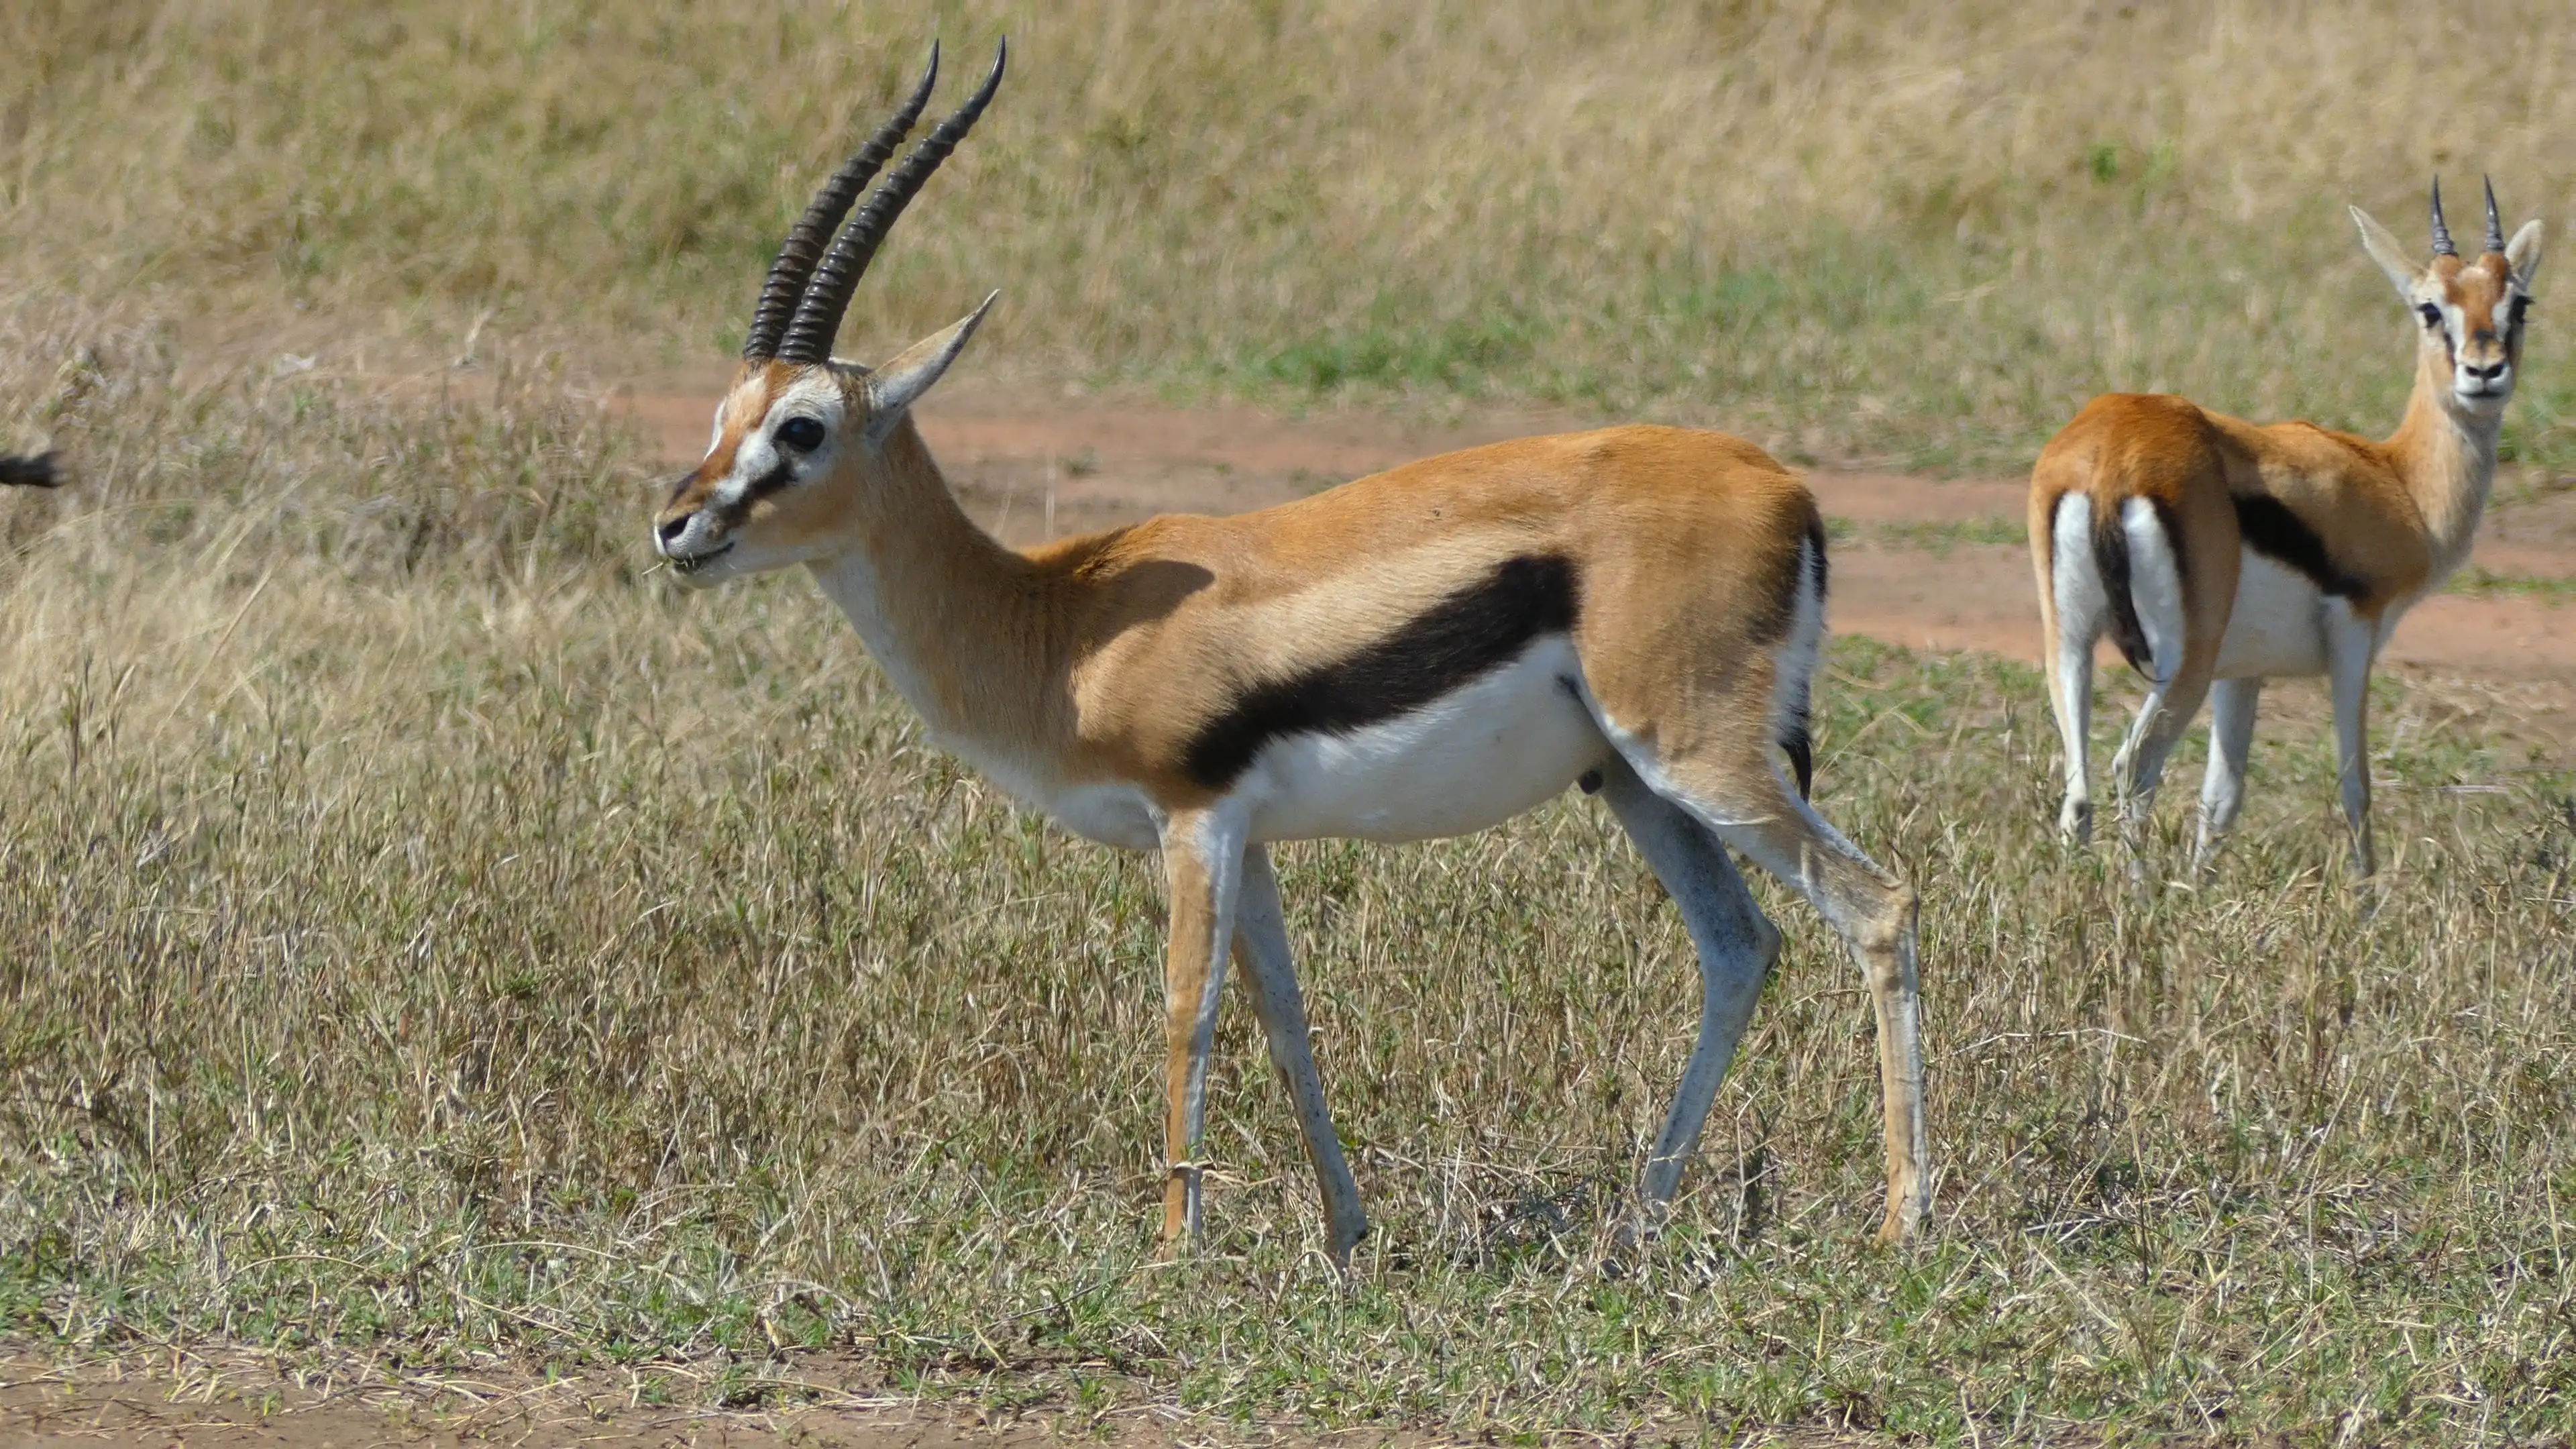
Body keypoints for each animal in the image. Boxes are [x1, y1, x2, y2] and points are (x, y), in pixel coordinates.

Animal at [651, 40, 1928, 1268]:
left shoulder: (1195, 819)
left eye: (801, 428)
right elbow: (1287, 1017)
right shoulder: (1252, 838)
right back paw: (1639, 1221)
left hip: (1701, 761)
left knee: (1879, 905)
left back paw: (1899, 1223)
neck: (1062, 622)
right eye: (724, 414)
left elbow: (1188, 1011)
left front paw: (1174, 1251)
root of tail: (1786, 489)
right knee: (1740, 947)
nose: (676, 526)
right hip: (1630, 780)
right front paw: (1347, 1235)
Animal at [2031, 179, 2543, 879]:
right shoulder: (2355, 635)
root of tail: (2114, 449)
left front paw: (2201, 890)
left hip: (2071, 642)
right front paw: (2365, 897)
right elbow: (2356, 786)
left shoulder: (2243, 671)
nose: (2485, 371)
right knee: (2133, 766)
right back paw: (2139, 895)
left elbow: (2222, 797)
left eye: (2518, 302)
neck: (2397, 480)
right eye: (2431, 308)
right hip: (2182, 663)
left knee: (2078, 789)